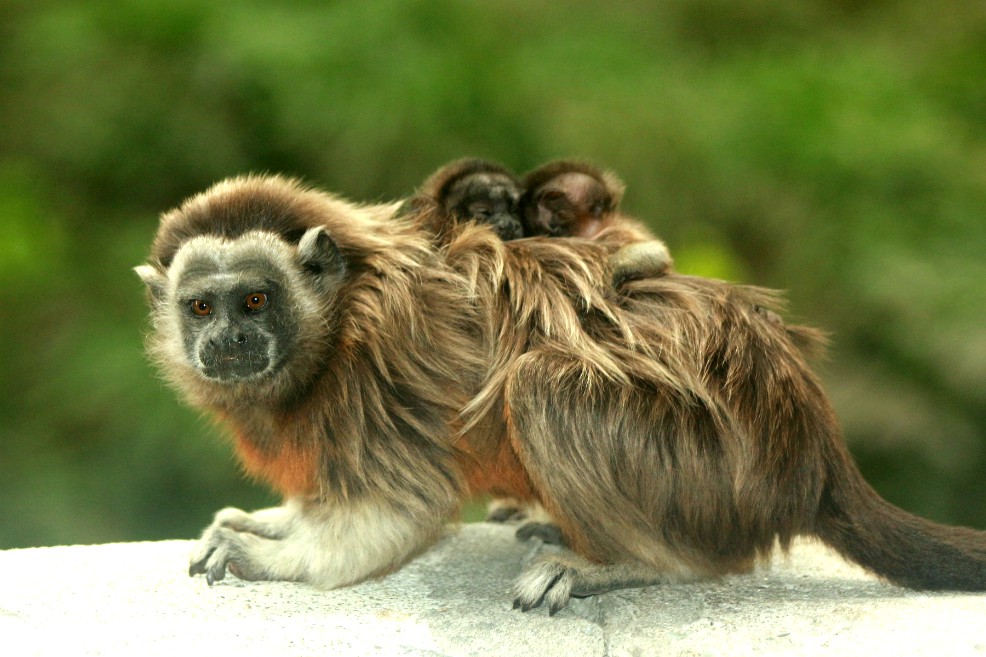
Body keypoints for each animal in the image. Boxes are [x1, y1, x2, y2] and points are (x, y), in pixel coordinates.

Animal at [138, 174, 986, 618]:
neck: (335, 323)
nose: (228, 342)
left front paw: (265, 553)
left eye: (254, 301)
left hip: (715, 473)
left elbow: (394, 513)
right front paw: (268, 520)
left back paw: (634, 560)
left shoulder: (374, 383)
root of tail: (811, 449)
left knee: (542, 385)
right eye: (201, 308)